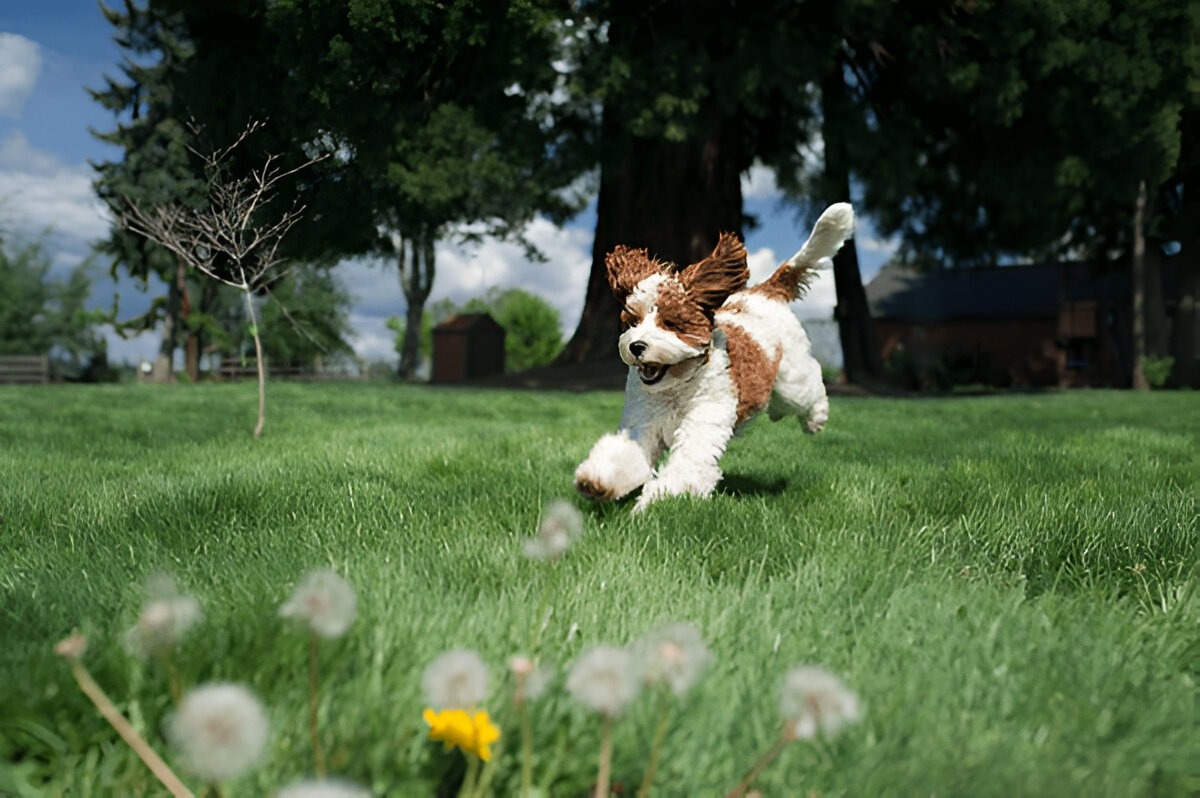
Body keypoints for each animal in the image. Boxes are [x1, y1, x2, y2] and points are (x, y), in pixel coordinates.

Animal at [571, 200, 854, 511]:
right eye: (632, 322)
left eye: (670, 323)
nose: (636, 346)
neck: (677, 385)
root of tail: (764, 292)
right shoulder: (643, 424)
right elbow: (626, 453)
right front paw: (596, 481)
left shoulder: (701, 424)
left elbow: (685, 468)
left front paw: (653, 504)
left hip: (792, 377)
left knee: (809, 387)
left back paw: (816, 419)